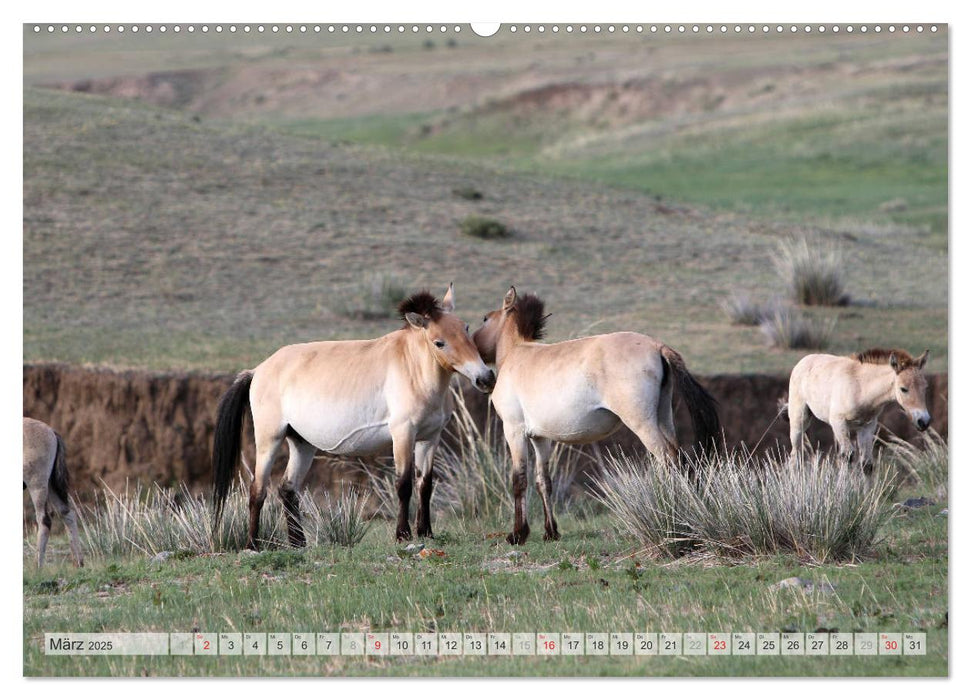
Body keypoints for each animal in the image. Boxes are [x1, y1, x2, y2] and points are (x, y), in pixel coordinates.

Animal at [22, 418, 84, 568]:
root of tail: (51, 432)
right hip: (50, 485)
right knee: (67, 513)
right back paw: (78, 562)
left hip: (37, 484)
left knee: (45, 520)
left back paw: (37, 567)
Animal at [215, 284, 498, 548]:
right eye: (439, 342)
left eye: (466, 328)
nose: (485, 378)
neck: (413, 368)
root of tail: (257, 370)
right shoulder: (403, 434)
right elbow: (404, 484)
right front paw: (403, 534)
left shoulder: (429, 438)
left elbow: (425, 485)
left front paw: (426, 532)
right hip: (269, 439)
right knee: (258, 490)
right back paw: (253, 544)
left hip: (301, 444)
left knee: (288, 489)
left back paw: (299, 543)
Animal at [474, 288, 716, 544]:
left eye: (485, 318)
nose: (483, 377)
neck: (517, 354)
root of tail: (657, 346)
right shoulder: (540, 438)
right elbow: (543, 481)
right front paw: (551, 532)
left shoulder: (514, 430)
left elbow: (519, 479)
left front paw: (518, 534)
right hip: (663, 418)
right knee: (677, 456)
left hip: (643, 424)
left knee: (669, 458)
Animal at [788, 348, 936, 474]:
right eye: (903, 389)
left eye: (925, 387)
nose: (923, 421)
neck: (861, 388)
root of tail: (804, 360)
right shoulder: (839, 422)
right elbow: (847, 456)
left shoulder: (867, 426)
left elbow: (867, 464)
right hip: (799, 419)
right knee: (795, 455)